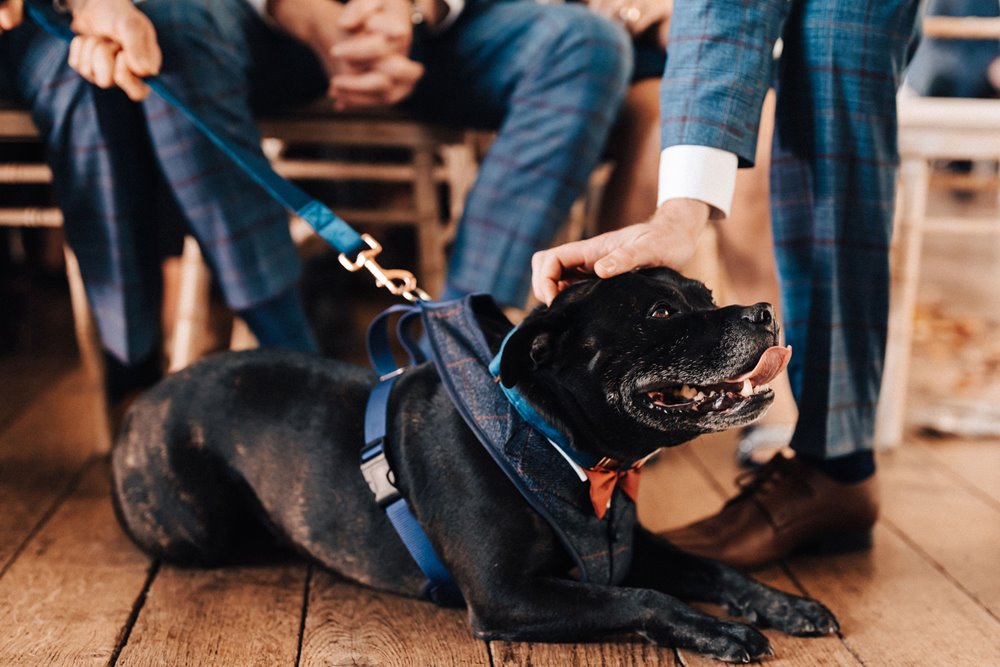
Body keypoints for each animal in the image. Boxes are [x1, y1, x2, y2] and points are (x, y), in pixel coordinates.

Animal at [111, 270, 836, 664]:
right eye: (660, 311)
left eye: (706, 294)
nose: (764, 311)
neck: (553, 437)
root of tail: (141, 405)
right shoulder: (507, 595)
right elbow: (646, 598)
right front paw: (722, 630)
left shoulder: (627, 548)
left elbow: (714, 567)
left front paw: (785, 604)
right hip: (194, 527)